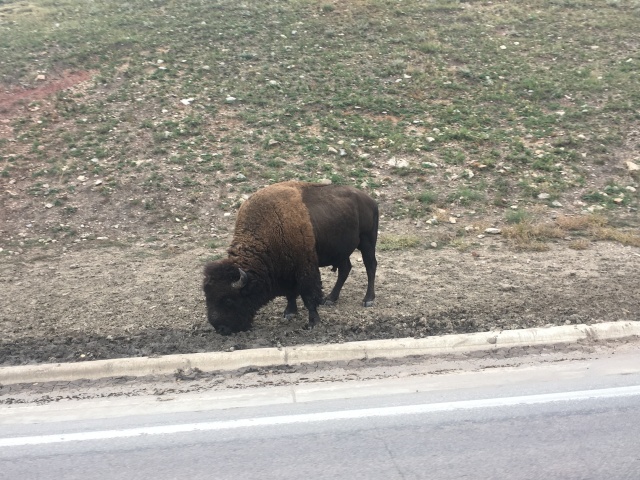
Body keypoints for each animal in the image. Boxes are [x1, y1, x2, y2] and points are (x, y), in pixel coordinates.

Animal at [203, 181, 378, 335]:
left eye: (228, 300)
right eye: (208, 297)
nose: (221, 329)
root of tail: (370, 200)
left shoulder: (304, 268)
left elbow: (308, 295)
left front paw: (313, 322)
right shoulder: (287, 269)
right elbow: (290, 293)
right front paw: (289, 312)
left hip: (367, 241)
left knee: (370, 266)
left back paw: (368, 299)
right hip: (341, 250)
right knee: (345, 269)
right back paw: (330, 299)